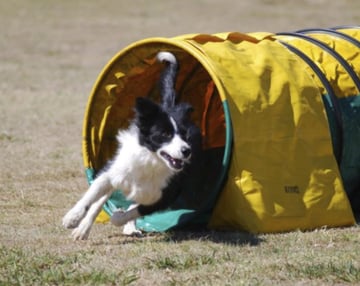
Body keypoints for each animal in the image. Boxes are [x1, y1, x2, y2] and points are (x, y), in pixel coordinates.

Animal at [63, 51, 201, 239]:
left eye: (185, 135)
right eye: (165, 134)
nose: (187, 151)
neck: (152, 161)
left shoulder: (162, 195)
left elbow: (131, 212)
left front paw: (119, 217)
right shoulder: (113, 172)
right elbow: (92, 196)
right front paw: (72, 217)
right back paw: (82, 229)